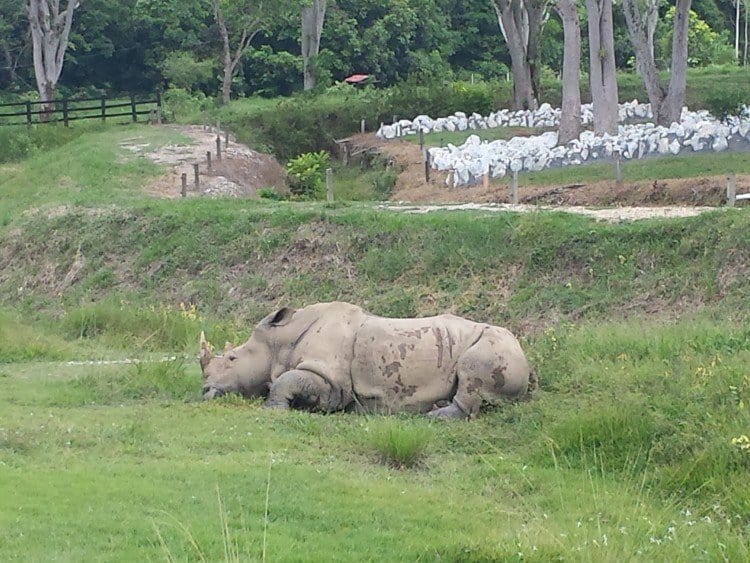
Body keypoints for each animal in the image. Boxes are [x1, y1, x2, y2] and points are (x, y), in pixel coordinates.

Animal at [199, 302, 534, 419]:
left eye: (232, 357)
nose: (203, 390)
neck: (280, 340)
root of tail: (525, 354)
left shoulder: (331, 382)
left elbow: (285, 380)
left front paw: (274, 408)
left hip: (496, 347)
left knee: (472, 371)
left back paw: (434, 417)